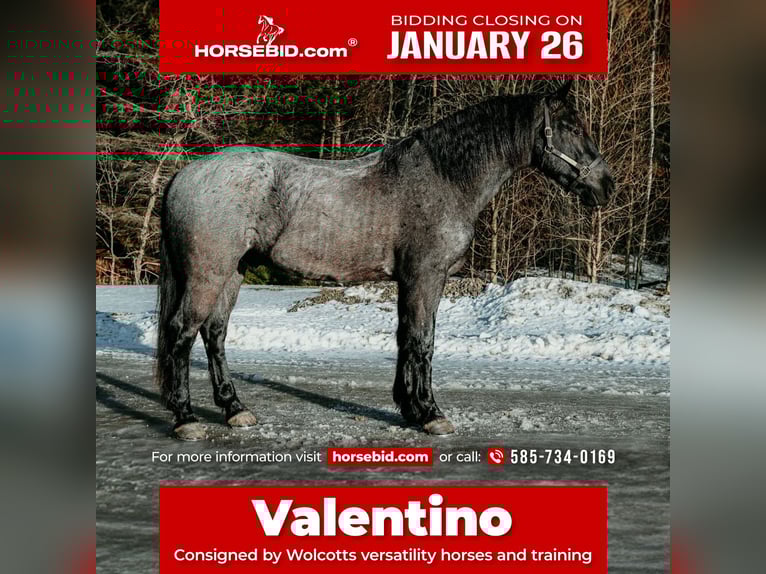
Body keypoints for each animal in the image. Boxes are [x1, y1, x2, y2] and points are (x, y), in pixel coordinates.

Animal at [156, 81, 615, 440]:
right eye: (572, 127)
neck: (444, 178)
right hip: (208, 273)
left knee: (214, 334)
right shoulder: (425, 277)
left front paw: (409, 407)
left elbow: (406, 338)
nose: (606, 186)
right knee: (182, 333)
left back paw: (235, 409)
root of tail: (185, 175)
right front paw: (431, 413)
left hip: (233, 272)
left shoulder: (413, 281)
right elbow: (422, 342)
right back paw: (185, 418)